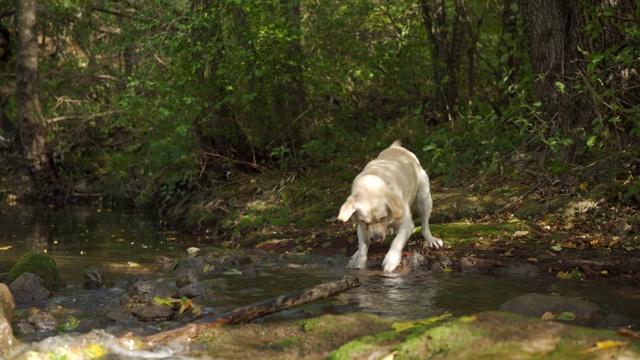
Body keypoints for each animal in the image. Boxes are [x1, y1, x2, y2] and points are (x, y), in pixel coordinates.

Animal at [338, 141, 442, 272]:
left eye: (383, 217)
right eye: (364, 221)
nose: (376, 240)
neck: (370, 186)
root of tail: (396, 148)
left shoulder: (407, 224)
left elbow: (397, 241)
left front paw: (391, 260)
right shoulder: (362, 227)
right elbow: (362, 250)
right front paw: (360, 265)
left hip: (424, 197)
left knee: (424, 224)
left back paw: (431, 239)